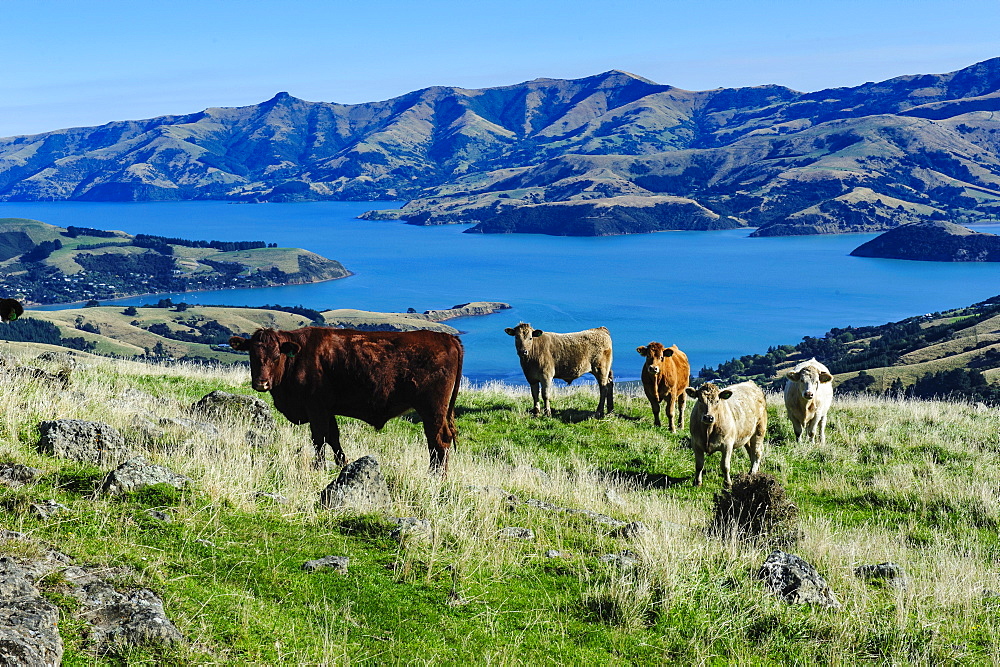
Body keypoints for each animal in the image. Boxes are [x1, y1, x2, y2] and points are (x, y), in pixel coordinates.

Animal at [232, 326, 466, 472]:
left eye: (275, 355)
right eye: (252, 355)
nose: (261, 383)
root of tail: (447, 337)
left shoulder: (315, 407)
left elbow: (319, 438)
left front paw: (318, 467)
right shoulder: (327, 409)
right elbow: (333, 437)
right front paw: (342, 463)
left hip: (432, 408)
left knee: (438, 441)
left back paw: (435, 476)